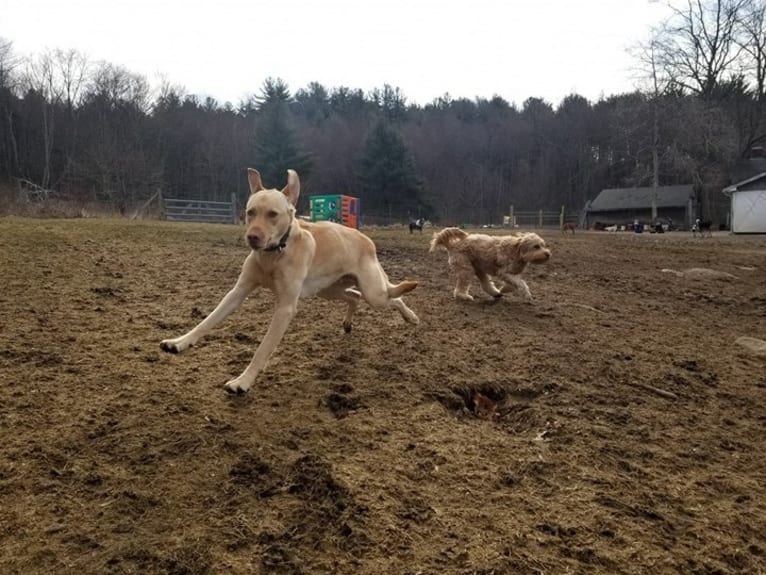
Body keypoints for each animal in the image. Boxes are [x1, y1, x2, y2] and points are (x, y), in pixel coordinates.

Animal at [158, 168, 420, 396]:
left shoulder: (285, 308)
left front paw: (243, 381)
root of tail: (367, 240)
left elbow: (263, 349)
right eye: (250, 212)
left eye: (273, 214)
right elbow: (207, 321)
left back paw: (411, 317)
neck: (273, 254)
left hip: (373, 293)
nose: (252, 237)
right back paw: (347, 324)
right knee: (354, 297)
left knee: (393, 297)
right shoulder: (237, 292)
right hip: (329, 289)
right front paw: (179, 342)